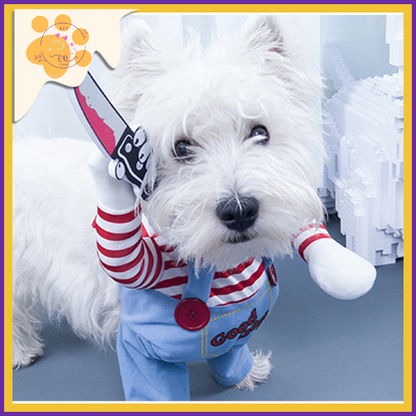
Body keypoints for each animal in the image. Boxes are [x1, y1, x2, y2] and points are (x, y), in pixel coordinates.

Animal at [13, 15, 376, 400]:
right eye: (182, 147)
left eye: (260, 132)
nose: (239, 211)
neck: (220, 265)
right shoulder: (139, 338)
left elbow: (230, 351)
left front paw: (245, 374)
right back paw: (22, 350)